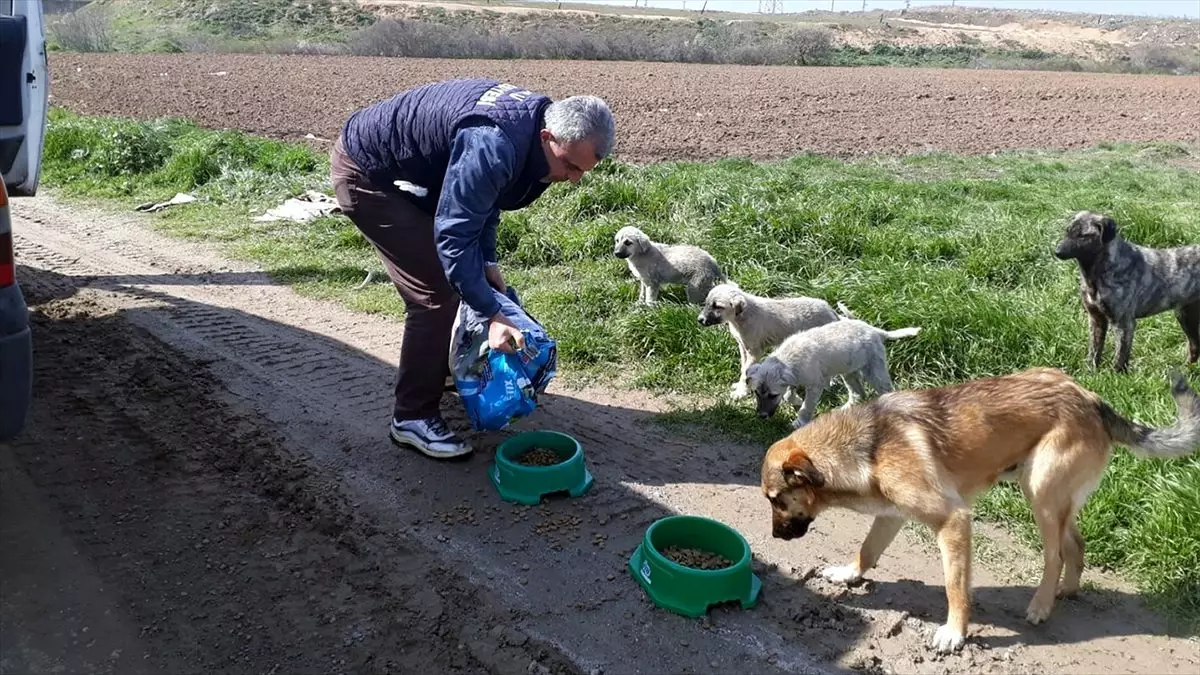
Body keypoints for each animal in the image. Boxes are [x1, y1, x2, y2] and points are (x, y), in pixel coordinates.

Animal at [696, 283, 844, 398]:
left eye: (718, 306)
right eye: (707, 303)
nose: (700, 320)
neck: (741, 317)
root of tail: (831, 310)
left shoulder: (754, 351)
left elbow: (745, 372)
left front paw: (740, 392)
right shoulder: (743, 347)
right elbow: (743, 368)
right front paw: (740, 386)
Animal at [739, 314, 916, 425]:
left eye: (772, 395)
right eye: (756, 393)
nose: (762, 416)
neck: (789, 357)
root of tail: (876, 331)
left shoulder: (815, 385)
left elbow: (807, 406)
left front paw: (800, 421)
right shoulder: (794, 378)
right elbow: (789, 394)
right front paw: (796, 400)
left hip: (874, 371)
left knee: (885, 389)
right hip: (849, 371)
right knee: (858, 393)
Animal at [758, 367, 1200, 653]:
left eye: (776, 500)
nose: (776, 535)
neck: (868, 448)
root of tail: (1092, 400)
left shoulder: (952, 521)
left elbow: (955, 586)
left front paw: (955, 632)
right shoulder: (891, 515)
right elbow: (867, 551)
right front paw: (849, 574)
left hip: (1039, 492)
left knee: (1055, 553)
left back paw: (1041, 604)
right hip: (1054, 495)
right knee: (1075, 542)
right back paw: (1066, 591)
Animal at [1056, 207, 1195, 369]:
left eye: (1083, 235)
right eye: (1067, 231)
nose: (1057, 251)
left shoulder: (1123, 324)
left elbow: (1120, 358)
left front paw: (1116, 373)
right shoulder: (1096, 318)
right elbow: (1094, 351)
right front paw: (1090, 371)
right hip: (1186, 316)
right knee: (1194, 347)